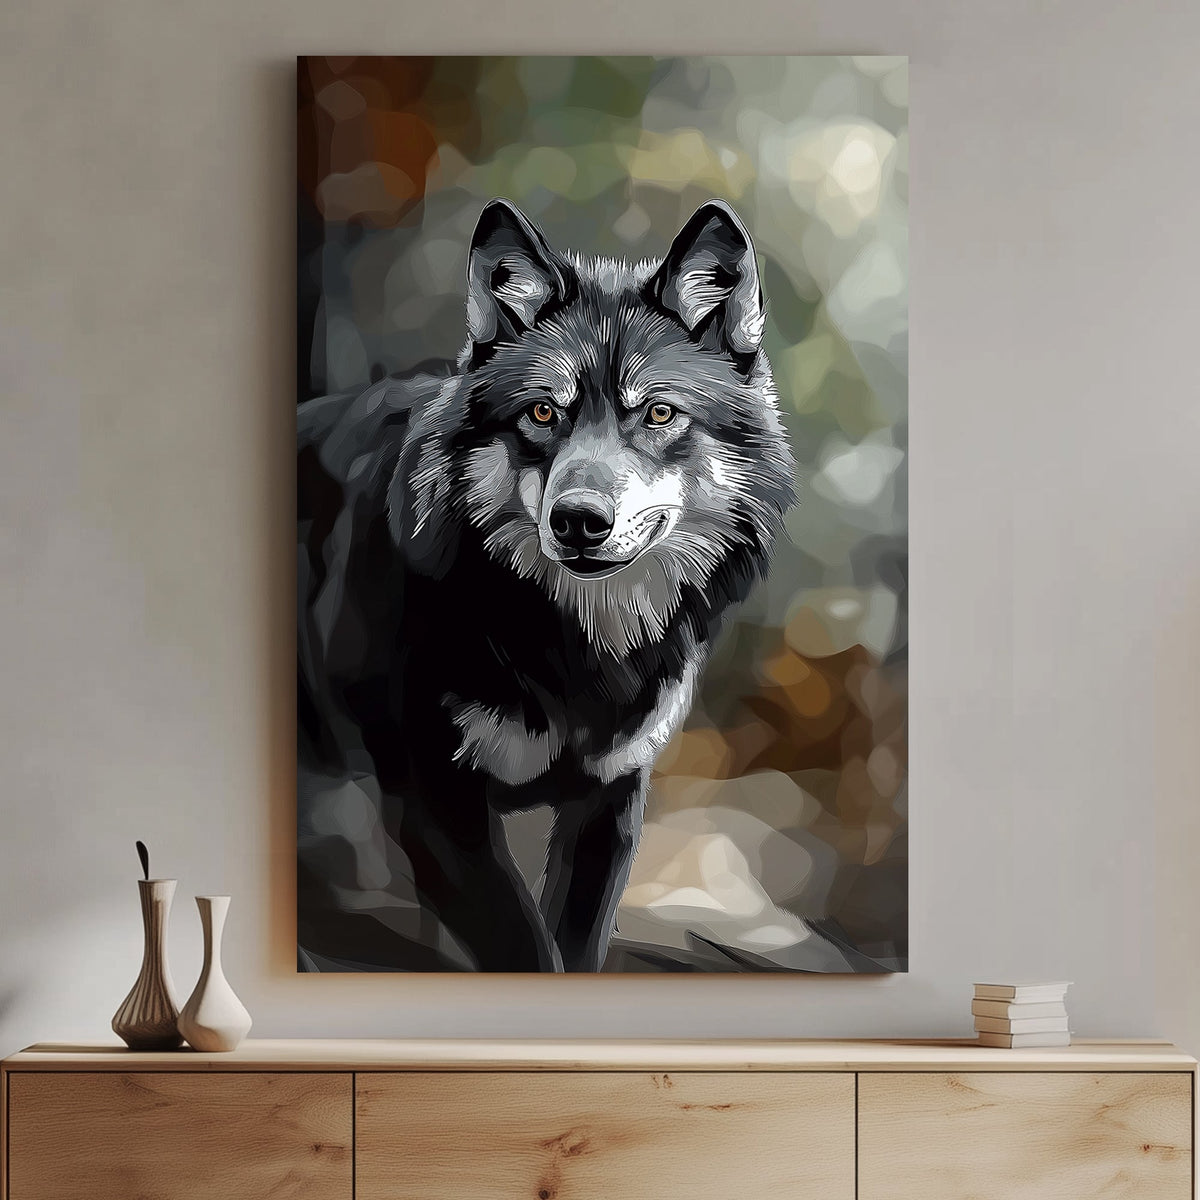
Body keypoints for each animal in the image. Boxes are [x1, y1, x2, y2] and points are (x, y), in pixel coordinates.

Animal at [297, 198, 796, 972]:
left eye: (658, 412)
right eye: (542, 413)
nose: (578, 520)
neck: (575, 649)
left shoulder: (610, 798)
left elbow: (576, 948)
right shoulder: (434, 807)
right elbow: (526, 950)